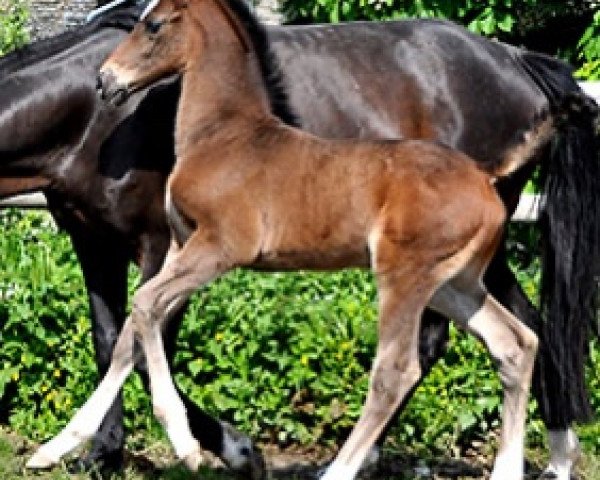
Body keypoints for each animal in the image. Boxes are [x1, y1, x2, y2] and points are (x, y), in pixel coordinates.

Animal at [1, 0, 596, 476]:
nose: (108, 80)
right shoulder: (104, 242)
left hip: (411, 274)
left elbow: (147, 329)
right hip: (460, 278)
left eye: (153, 24)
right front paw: (76, 449)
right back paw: (535, 460)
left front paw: (213, 448)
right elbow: (118, 340)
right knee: (519, 336)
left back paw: (351, 465)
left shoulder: (184, 247)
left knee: (406, 362)